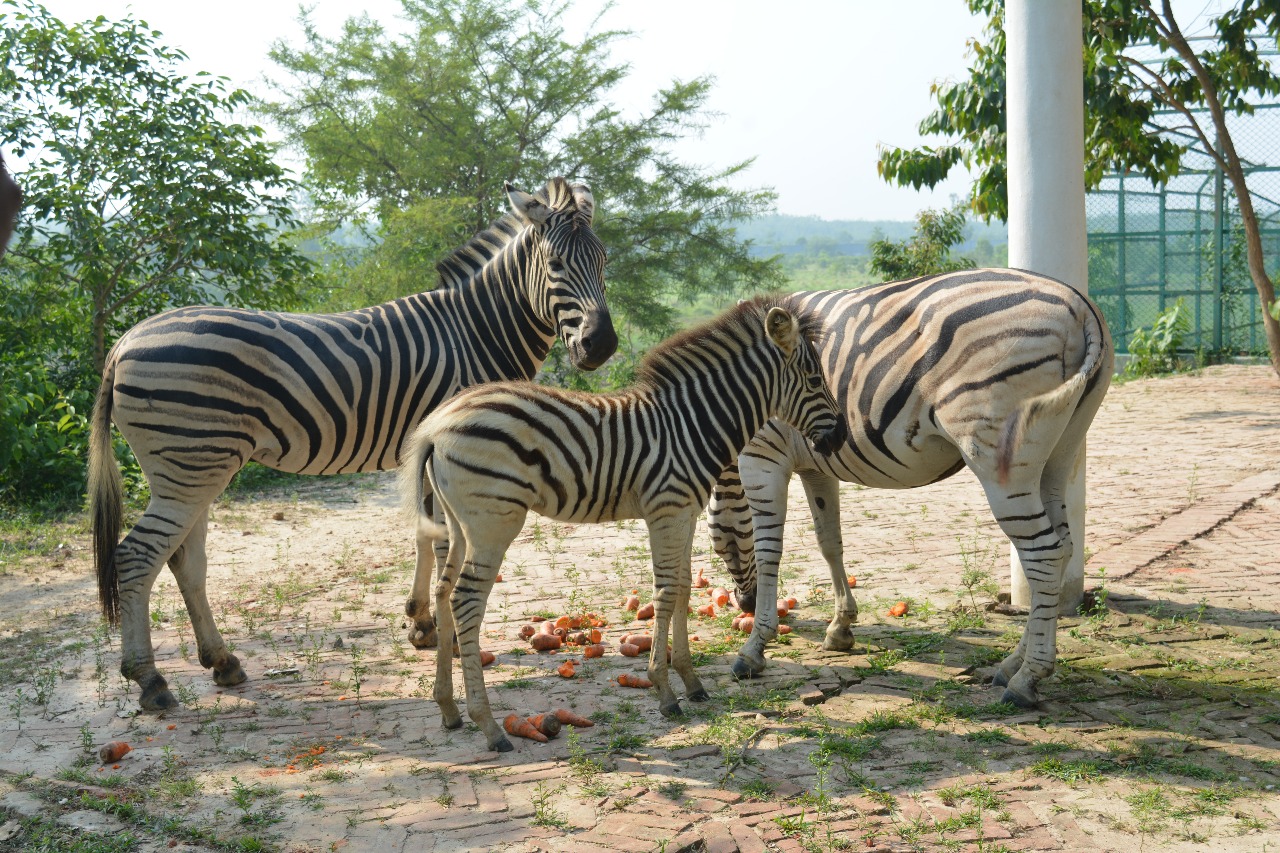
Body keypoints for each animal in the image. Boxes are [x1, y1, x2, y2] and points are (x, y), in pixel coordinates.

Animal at [88, 177, 617, 713]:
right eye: (555, 264)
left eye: (603, 261)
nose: (602, 346)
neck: (476, 332)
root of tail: (125, 341)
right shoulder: (457, 452)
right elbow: (444, 542)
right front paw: (442, 633)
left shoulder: (429, 455)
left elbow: (425, 535)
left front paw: (421, 623)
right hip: (191, 465)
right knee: (137, 557)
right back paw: (150, 680)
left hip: (196, 467)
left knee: (183, 560)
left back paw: (221, 661)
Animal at [398, 296, 847, 752]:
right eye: (814, 379)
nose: (841, 436)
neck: (691, 424)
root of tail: (435, 427)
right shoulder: (666, 509)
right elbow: (665, 594)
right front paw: (665, 692)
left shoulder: (684, 511)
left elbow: (682, 589)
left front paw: (692, 682)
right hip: (494, 521)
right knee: (466, 600)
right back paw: (489, 727)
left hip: (456, 522)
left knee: (443, 592)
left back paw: (448, 709)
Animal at [707, 269, 1113, 709]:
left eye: (717, 539)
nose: (744, 604)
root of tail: (1079, 306)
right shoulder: (817, 466)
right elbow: (830, 542)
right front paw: (840, 627)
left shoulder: (762, 457)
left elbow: (769, 553)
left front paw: (754, 649)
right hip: (1060, 452)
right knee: (1063, 548)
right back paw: (1011, 665)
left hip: (1002, 459)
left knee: (1044, 554)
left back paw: (1027, 678)